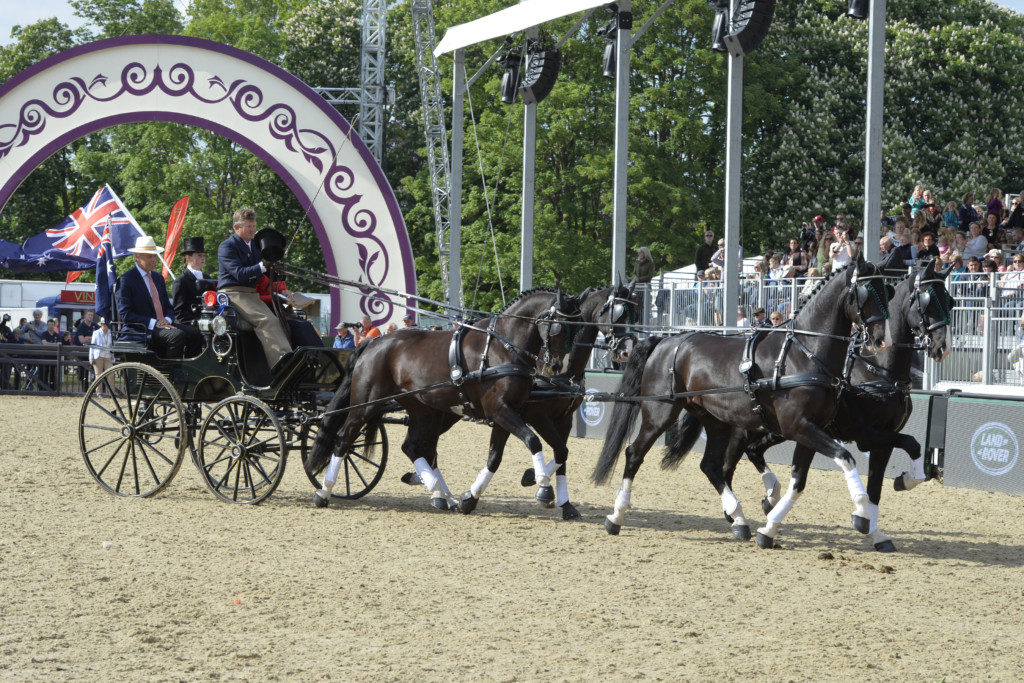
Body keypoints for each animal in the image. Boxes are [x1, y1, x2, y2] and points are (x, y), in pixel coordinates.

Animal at [303, 290, 581, 511]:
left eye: (577, 327)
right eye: (560, 326)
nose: (558, 366)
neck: (501, 347)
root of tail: (373, 343)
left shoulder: (509, 412)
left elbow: (500, 456)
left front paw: (469, 498)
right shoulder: (500, 410)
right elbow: (533, 441)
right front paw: (543, 487)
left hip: (423, 410)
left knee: (412, 447)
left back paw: (438, 491)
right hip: (367, 403)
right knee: (343, 440)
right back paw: (324, 491)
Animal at [598, 254, 892, 544]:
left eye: (887, 290)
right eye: (867, 291)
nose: (882, 340)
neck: (803, 354)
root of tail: (663, 341)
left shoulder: (811, 429)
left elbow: (799, 481)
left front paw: (769, 527)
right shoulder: (798, 426)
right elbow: (846, 458)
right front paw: (862, 513)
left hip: (715, 420)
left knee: (711, 466)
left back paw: (738, 518)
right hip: (660, 412)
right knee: (634, 454)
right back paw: (616, 516)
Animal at [663, 259, 958, 552]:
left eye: (951, 301)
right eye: (927, 301)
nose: (943, 347)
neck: (877, 370)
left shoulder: (879, 439)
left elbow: (883, 479)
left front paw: (878, 526)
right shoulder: (865, 435)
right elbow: (908, 445)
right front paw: (870, 511)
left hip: (773, 430)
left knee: (747, 456)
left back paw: (758, 504)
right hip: (744, 429)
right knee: (722, 467)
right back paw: (738, 515)